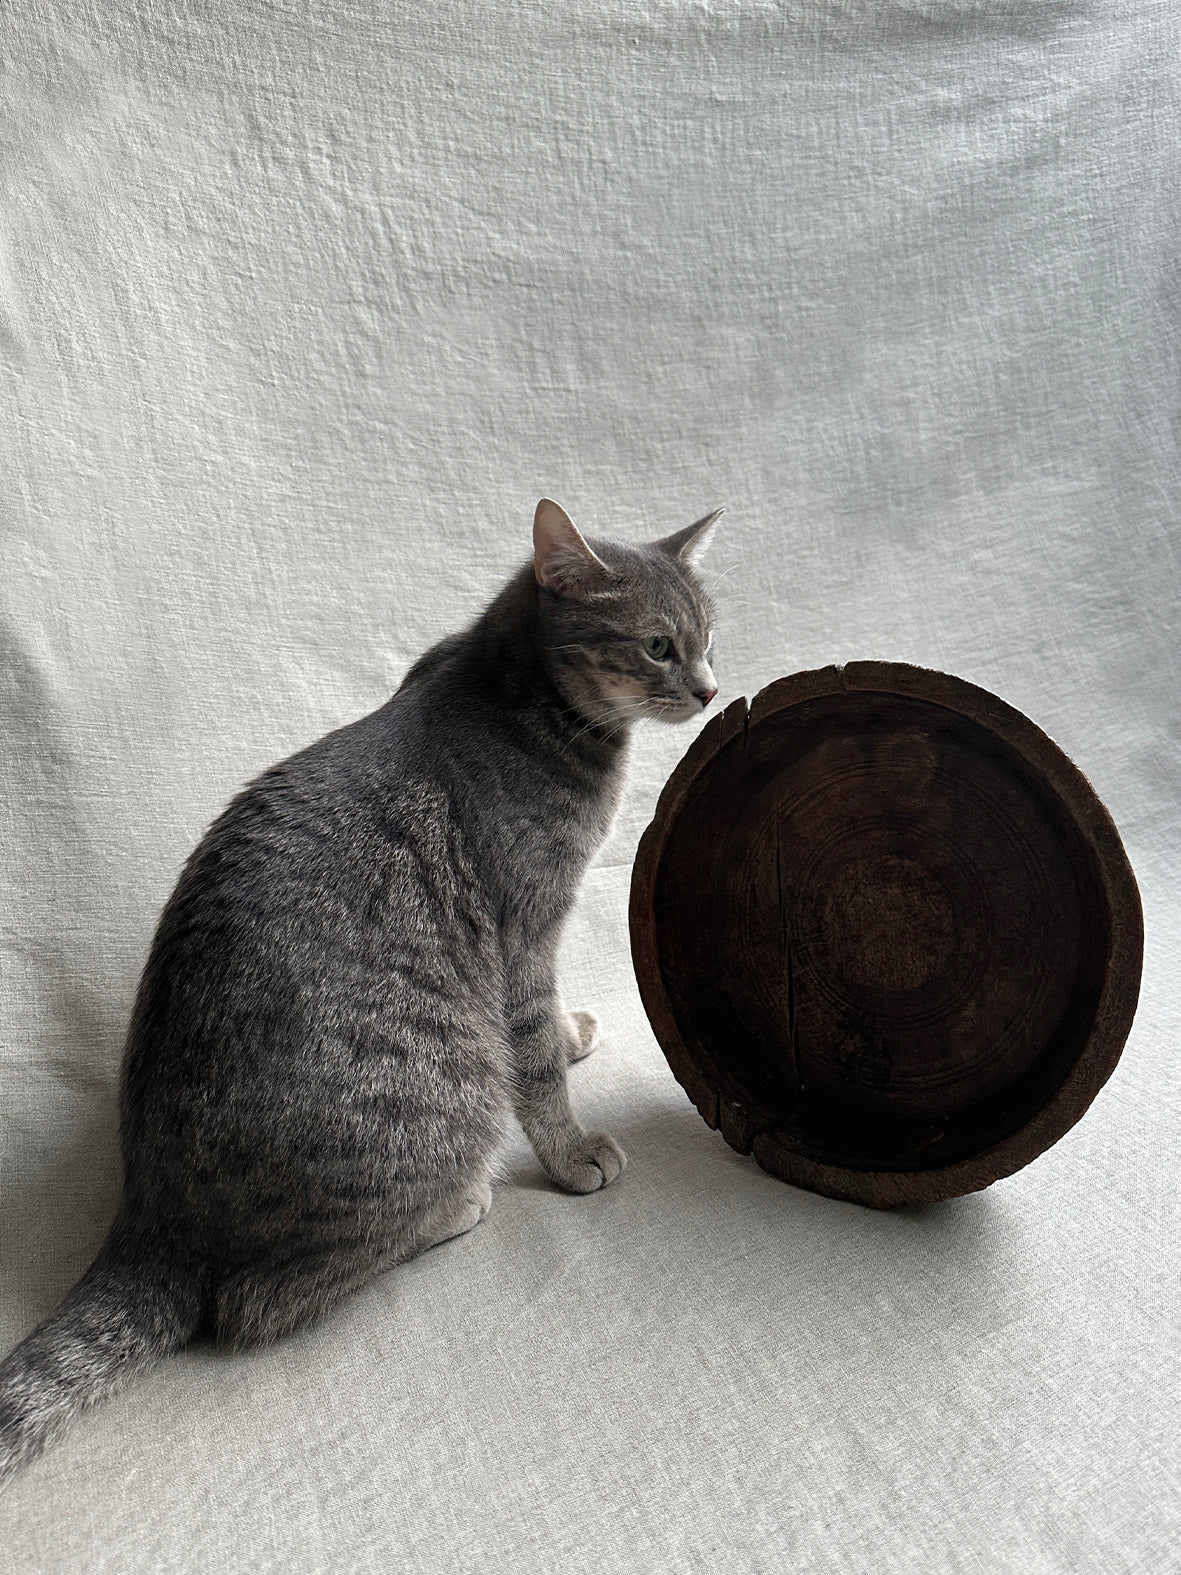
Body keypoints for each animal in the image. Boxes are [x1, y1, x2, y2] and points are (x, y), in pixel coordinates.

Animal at [0, 497, 721, 1480]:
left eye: (708, 636)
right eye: (656, 645)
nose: (710, 689)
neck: (513, 695)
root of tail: (150, 1225)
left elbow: (546, 1029)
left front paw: (573, 1031)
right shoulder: (525, 926)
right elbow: (533, 1058)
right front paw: (572, 1149)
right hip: (442, 1101)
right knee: (254, 1303)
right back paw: (456, 1205)